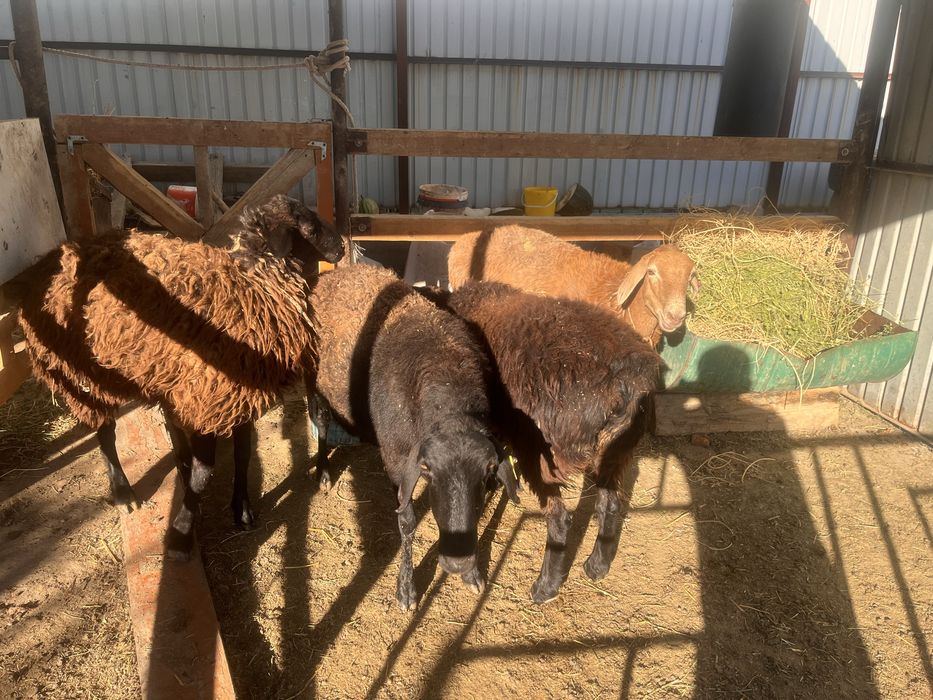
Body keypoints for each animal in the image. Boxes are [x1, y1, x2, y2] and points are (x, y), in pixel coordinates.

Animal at [17, 196, 343, 558]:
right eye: (309, 227)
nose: (342, 247)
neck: (254, 289)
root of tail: (53, 256)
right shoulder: (211, 399)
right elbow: (205, 473)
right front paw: (181, 533)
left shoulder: (236, 396)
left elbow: (243, 454)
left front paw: (241, 509)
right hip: (82, 373)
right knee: (104, 432)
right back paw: (123, 492)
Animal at [307, 264, 511, 610]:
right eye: (428, 469)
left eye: (488, 472)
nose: (457, 564)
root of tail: (337, 272)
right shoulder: (398, 462)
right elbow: (407, 522)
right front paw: (407, 590)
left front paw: (472, 575)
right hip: (312, 382)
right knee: (320, 422)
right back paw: (322, 473)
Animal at [438, 281, 661, 603]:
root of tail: (625, 385)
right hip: (614, 452)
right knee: (611, 503)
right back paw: (597, 566)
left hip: (542, 454)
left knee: (559, 519)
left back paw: (545, 586)